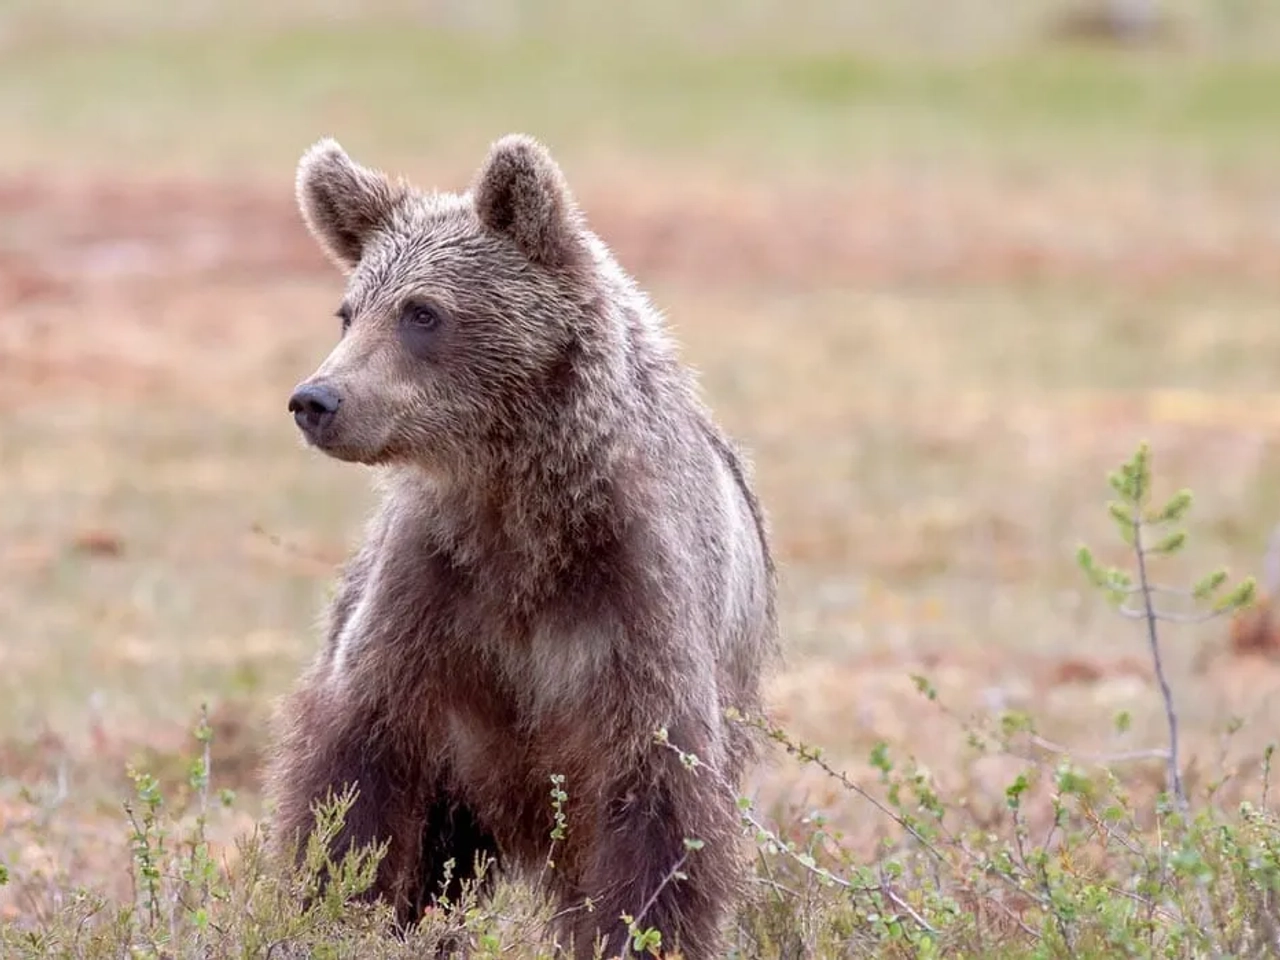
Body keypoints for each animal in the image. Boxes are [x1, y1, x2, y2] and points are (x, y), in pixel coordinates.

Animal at [264, 132, 778, 960]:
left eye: (423, 311)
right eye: (348, 311)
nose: (317, 399)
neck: (522, 514)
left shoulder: (635, 605)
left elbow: (657, 819)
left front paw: (640, 933)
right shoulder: (431, 601)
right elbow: (355, 789)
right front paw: (338, 910)